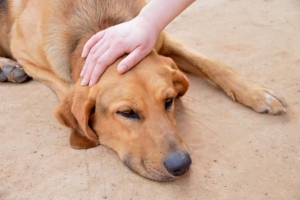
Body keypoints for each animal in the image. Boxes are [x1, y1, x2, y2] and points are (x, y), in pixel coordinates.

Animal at [0, 0, 286, 181]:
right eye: (127, 113)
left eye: (169, 100)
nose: (181, 166)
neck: (99, 24)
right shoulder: (27, 56)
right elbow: (67, 88)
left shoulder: (154, 37)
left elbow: (210, 63)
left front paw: (257, 92)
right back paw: (8, 68)